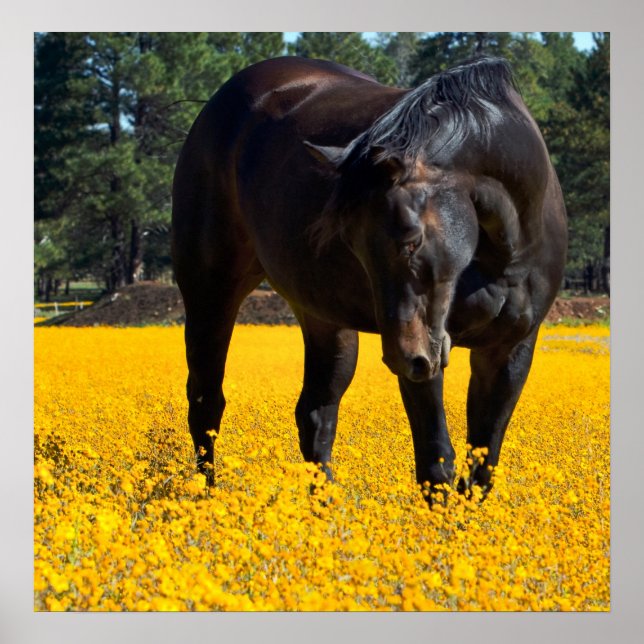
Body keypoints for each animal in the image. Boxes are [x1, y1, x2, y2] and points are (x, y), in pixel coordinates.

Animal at [171, 56, 567, 501]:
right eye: (351, 242)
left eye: (412, 238)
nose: (402, 357)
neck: (503, 250)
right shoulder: (426, 355)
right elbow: (437, 462)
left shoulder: (509, 349)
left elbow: (481, 469)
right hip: (210, 292)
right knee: (206, 402)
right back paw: (206, 497)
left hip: (326, 321)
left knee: (315, 414)